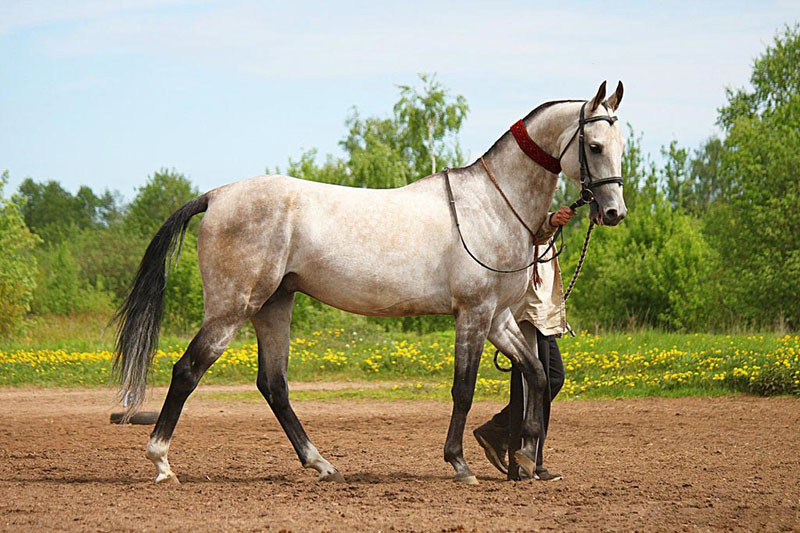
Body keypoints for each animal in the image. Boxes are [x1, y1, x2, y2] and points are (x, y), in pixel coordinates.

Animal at [114, 81, 624, 484]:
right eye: (595, 146)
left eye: (622, 146)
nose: (614, 212)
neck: (492, 204)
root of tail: (217, 195)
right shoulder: (473, 314)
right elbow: (463, 388)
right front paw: (460, 464)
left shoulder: (498, 318)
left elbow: (535, 373)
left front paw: (526, 458)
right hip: (231, 308)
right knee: (187, 371)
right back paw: (161, 463)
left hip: (274, 305)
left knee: (274, 385)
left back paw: (322, 465)